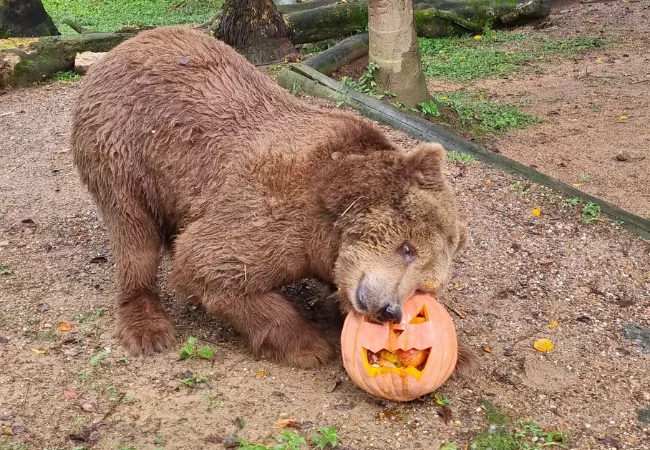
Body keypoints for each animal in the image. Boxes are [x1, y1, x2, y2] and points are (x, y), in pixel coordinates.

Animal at [71, 25, 474, 372]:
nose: (389, 309)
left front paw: (460, 354)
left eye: (424, 285)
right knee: (133, 235)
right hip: (120, 147)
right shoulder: (278, 211)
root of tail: (121, 48)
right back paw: (147, 327)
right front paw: (310, 345)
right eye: (407, 248)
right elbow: (208, 263)